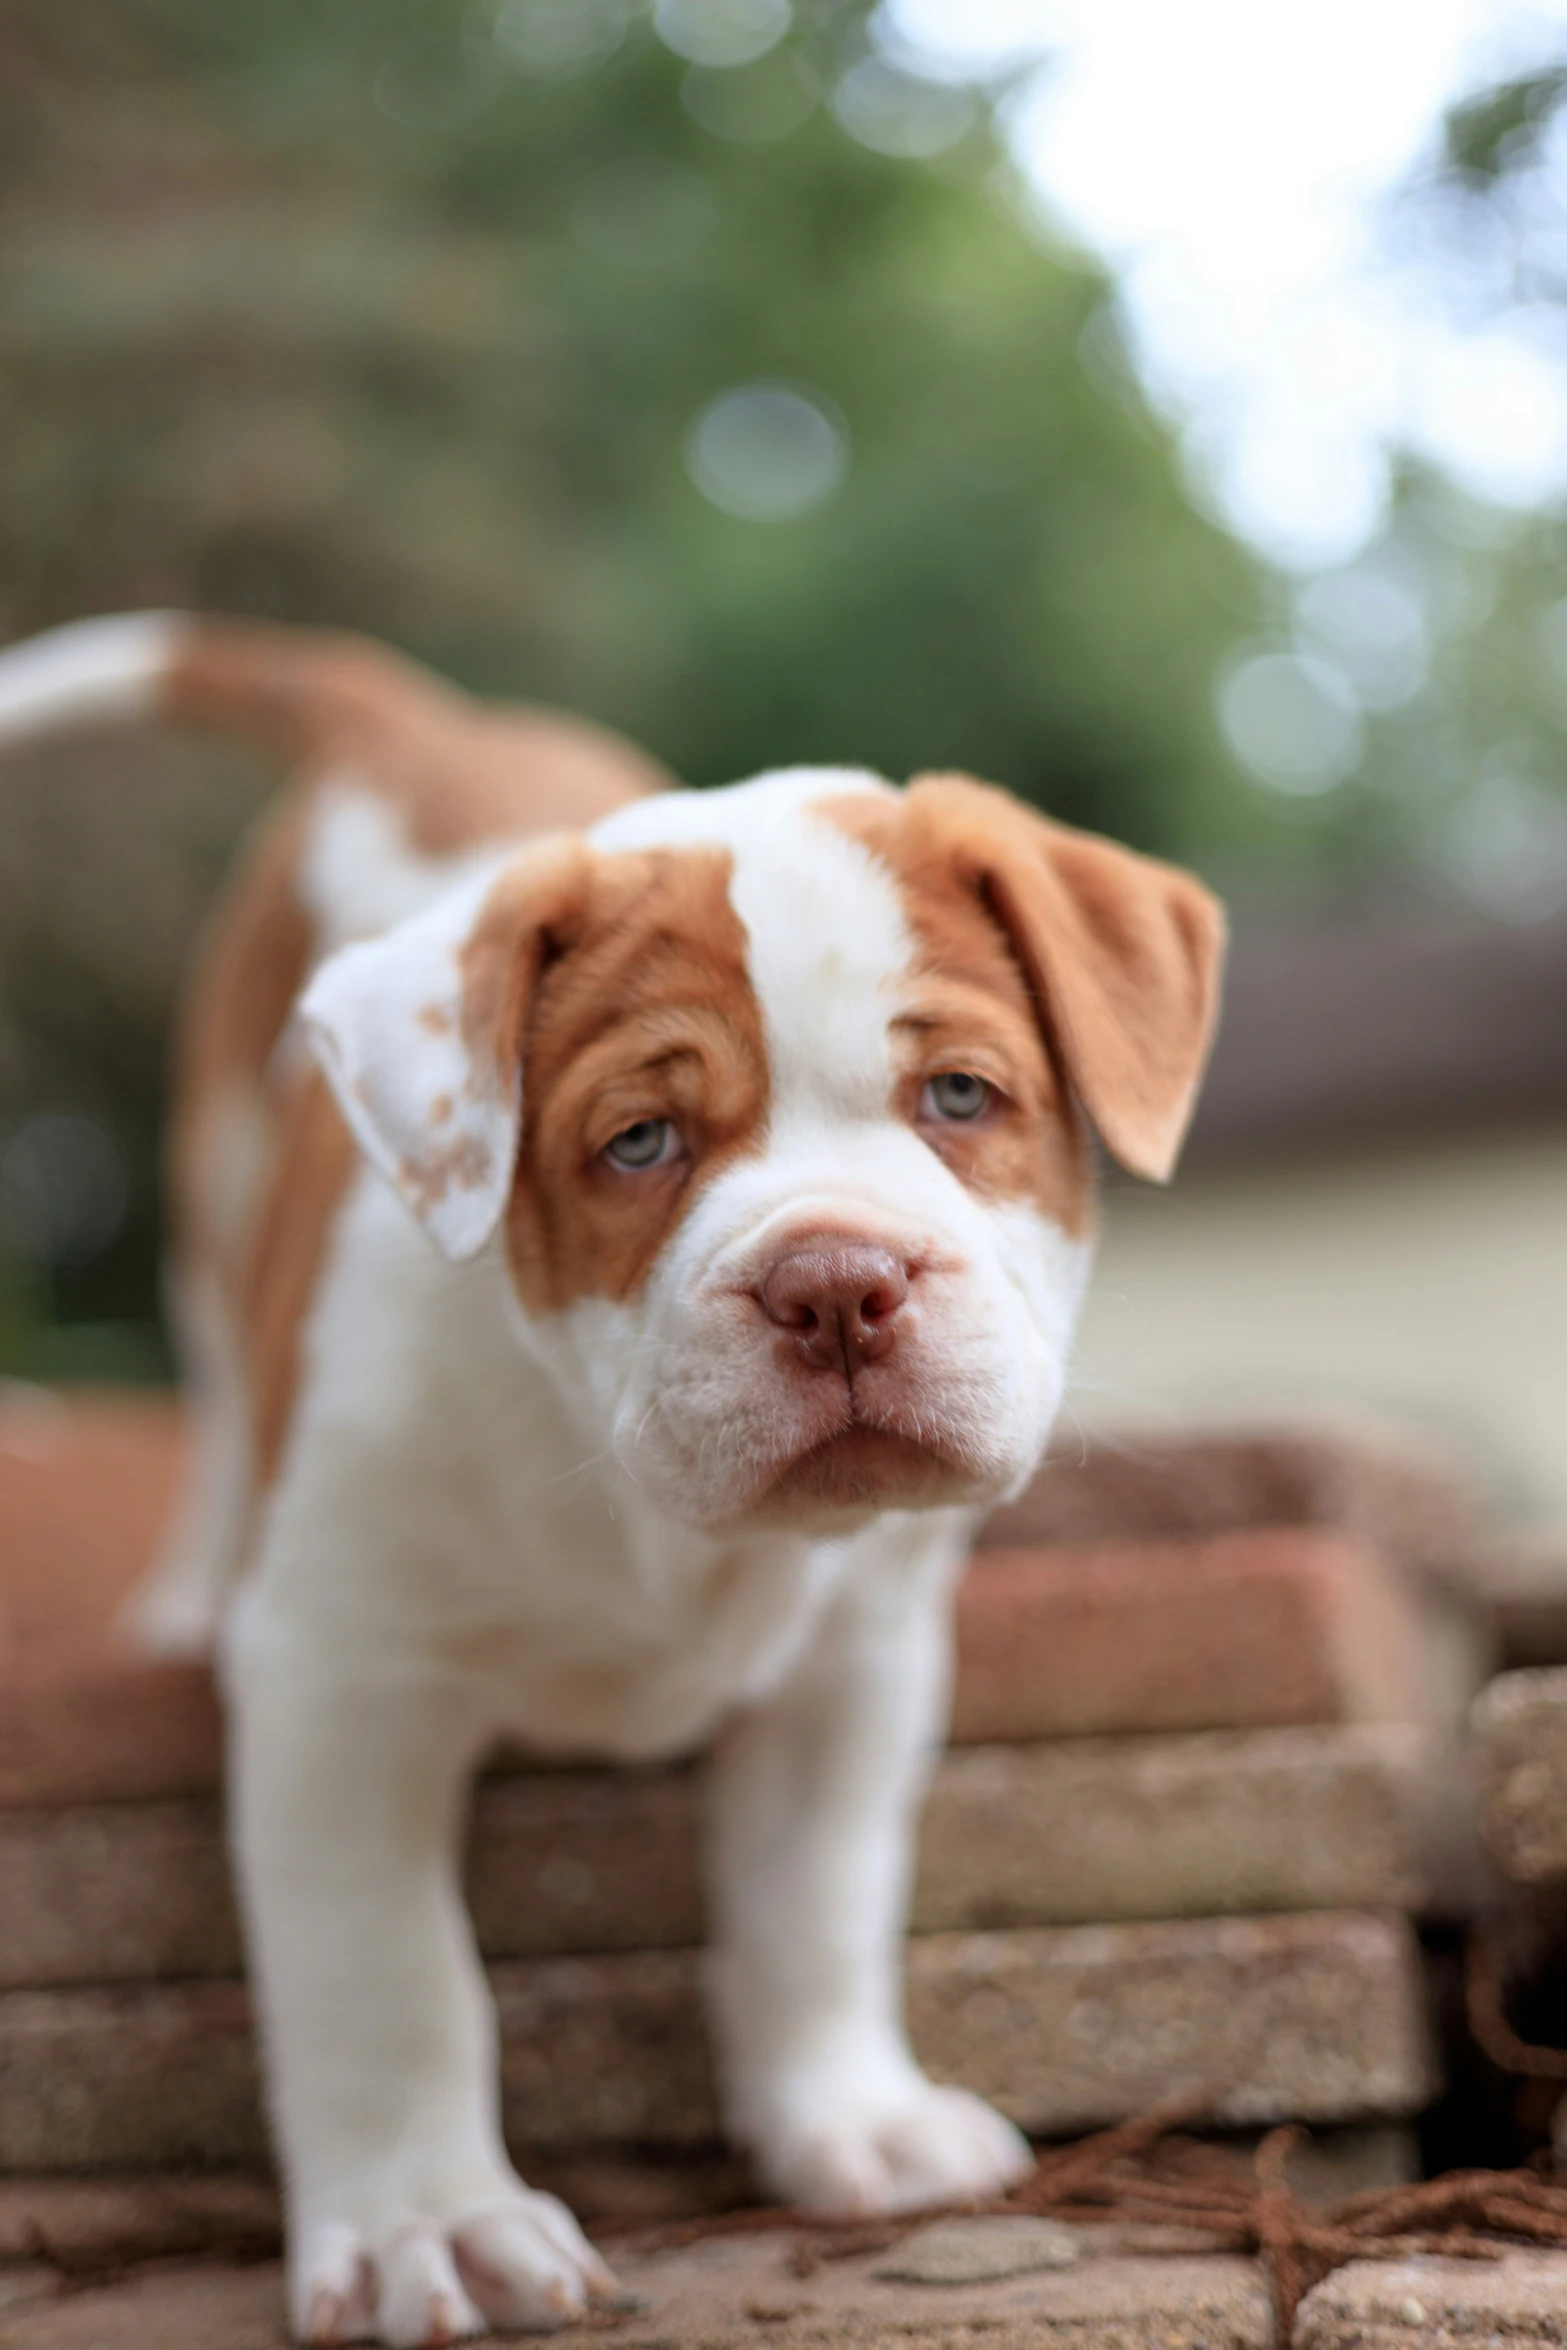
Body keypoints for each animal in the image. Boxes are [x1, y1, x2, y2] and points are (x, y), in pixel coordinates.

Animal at [0, 615, 1221, 2340]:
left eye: (959, 1097)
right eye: (638, 1141)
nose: (834, 1283)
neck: (652, 1513)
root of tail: (428, 730)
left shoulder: (856, 1662)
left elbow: (814, 1899)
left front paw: (850, 2121)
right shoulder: (337, 1680)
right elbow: (384, 1968)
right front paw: (430, 2226)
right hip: (212, 1171)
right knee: (221, 1392)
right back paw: (181, 1597)